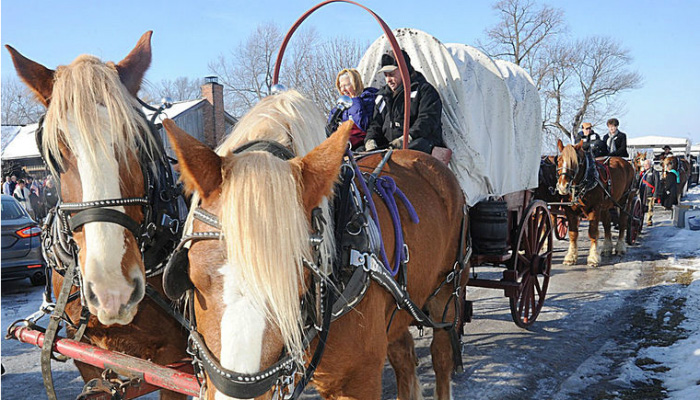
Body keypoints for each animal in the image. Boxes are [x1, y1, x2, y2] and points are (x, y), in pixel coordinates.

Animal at [165, 90, 464, 400]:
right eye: (192, 279)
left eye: (298, 288)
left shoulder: (358, 380)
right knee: (404, 356)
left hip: (447, 293)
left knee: (441, 354)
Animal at [556, 139, 636, 268]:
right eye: (559, 160)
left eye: (576, 162)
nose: (563, 186)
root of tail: (626, 163)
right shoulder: (570, 210)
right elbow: (573, 234)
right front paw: (570, 257)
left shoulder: (594, 208)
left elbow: (593, 233)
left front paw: (593, 258)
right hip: (606, 205)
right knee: (607, 224)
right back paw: (607, 248)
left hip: (625, 201)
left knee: (623, 222)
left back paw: (620, 247)